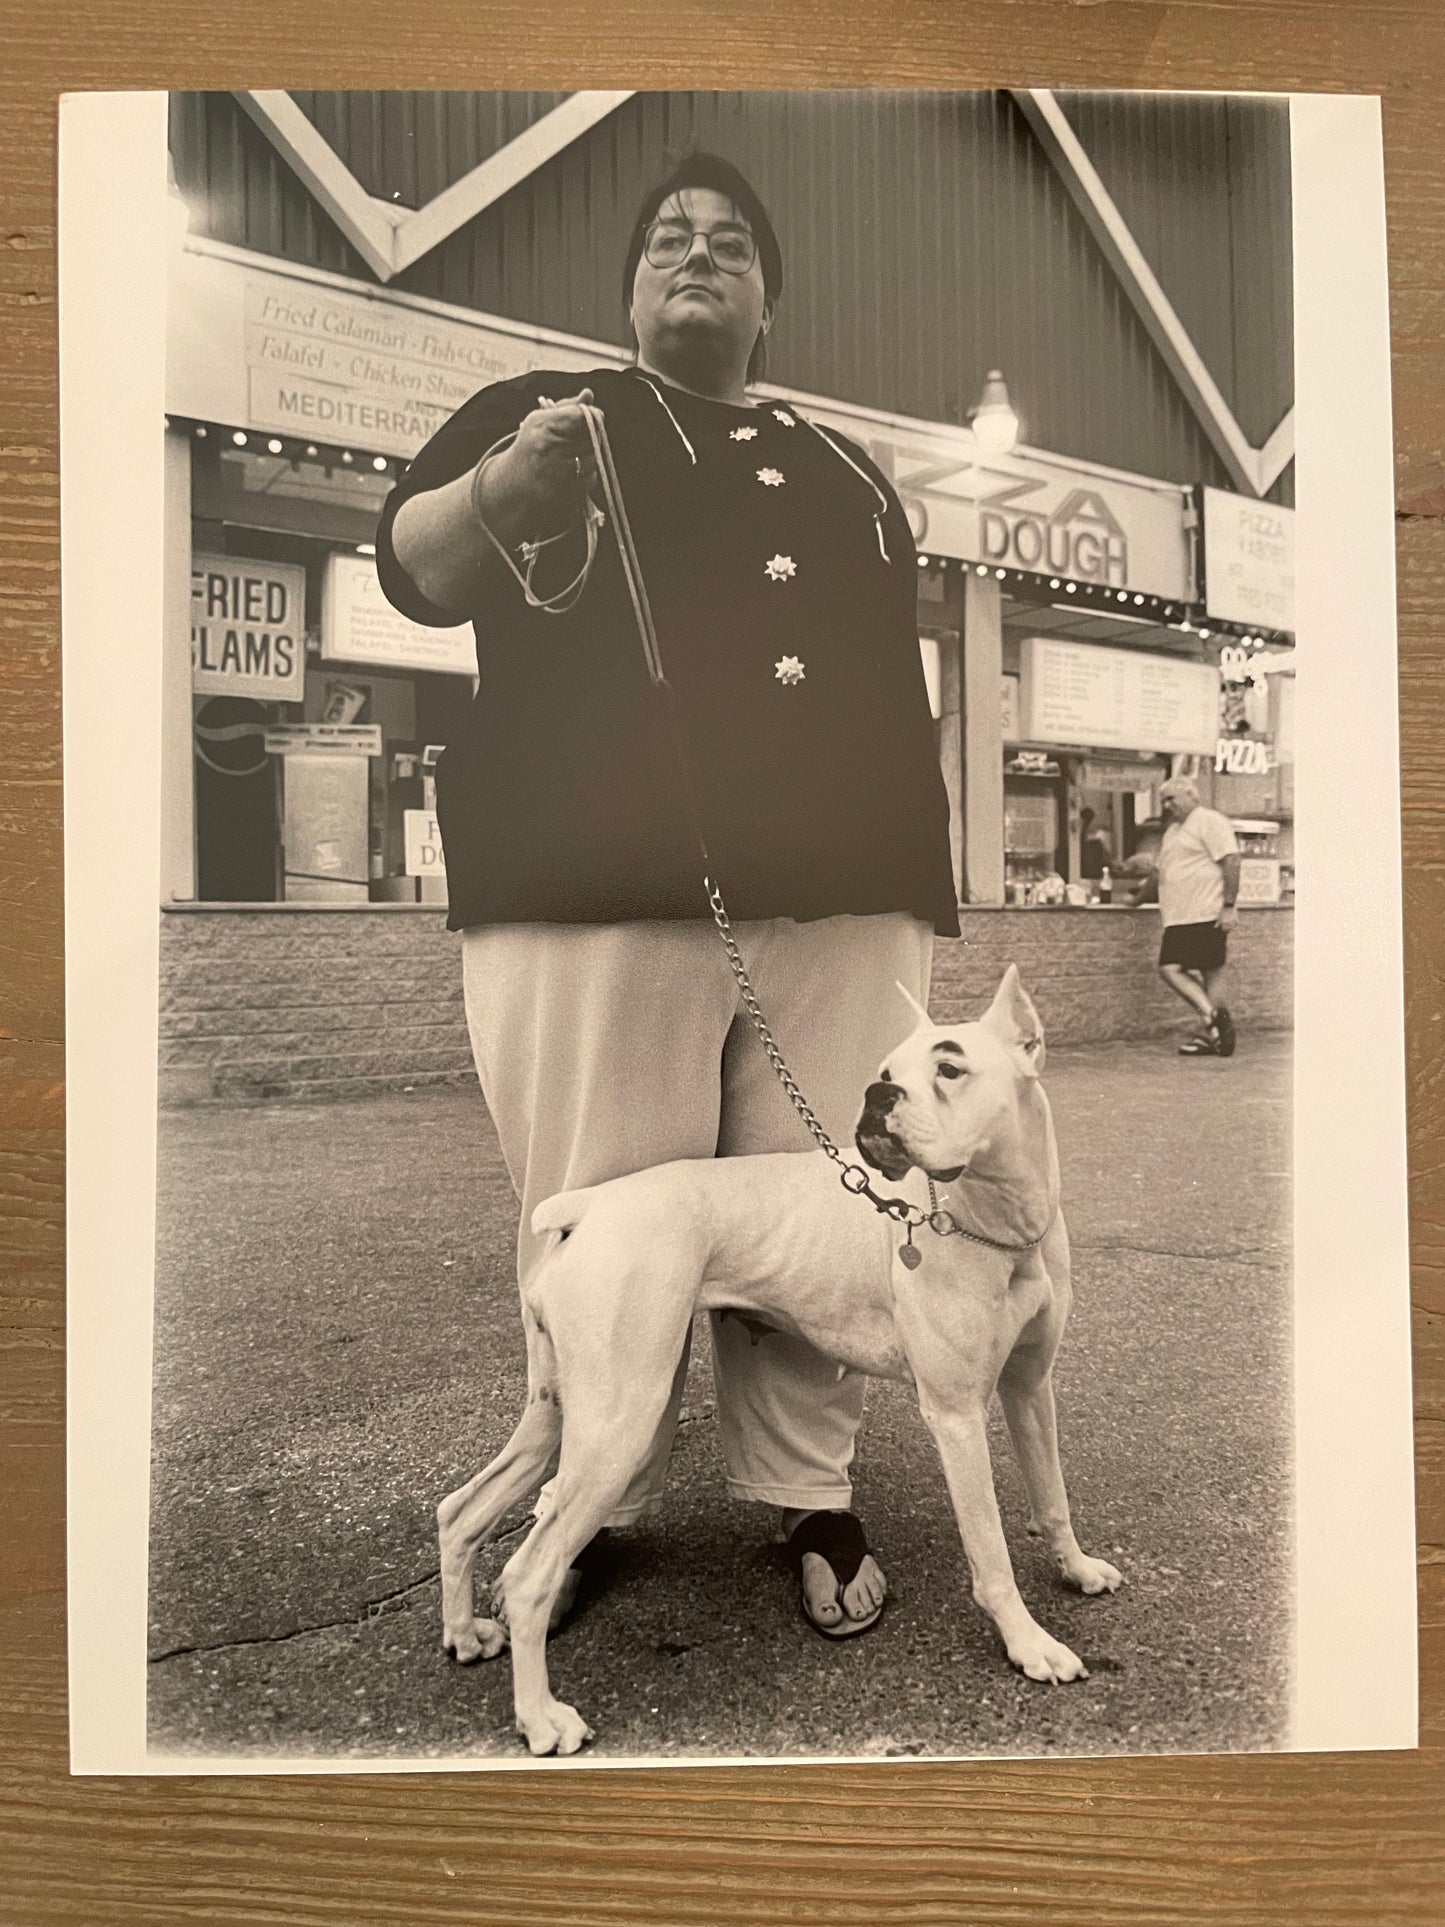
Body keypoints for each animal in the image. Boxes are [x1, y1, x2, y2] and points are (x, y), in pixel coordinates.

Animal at [435, 971, 1125, 1757]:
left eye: (950, 1068)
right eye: (887, 1070)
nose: (877, 1094)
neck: (995, 1225)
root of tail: (590, 1207)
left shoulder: (1030, 1388)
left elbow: (1051, 1497)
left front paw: (1077, 1570)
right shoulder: (956, 1418)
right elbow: (992, 1553)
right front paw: (1029, 1644)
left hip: (557, 1412)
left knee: (461, 1511)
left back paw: (463, 1635)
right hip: (619, 1420)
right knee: (529, 1574)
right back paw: (541, 1717)